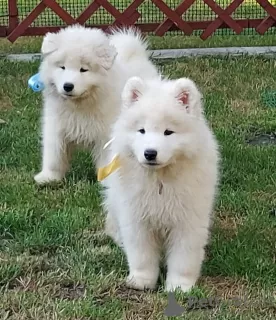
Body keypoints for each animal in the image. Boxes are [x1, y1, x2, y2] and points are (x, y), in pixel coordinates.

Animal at [34, 24, 157, 184]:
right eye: (62, 67)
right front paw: (48, 177)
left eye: (83, 69)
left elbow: (106, 160)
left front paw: (107, 180)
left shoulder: (106, 135)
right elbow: (54, 155)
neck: (79, 106)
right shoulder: (56, 127)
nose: (68, 86)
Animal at [102, 76, 220, 292]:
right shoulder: (137, 218)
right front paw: (141, 281)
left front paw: (179, 287)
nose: (150, 153)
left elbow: (183, 258)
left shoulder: (188, 221)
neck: (159, 180)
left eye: (168, 132)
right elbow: (141, 255)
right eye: (141, 130)